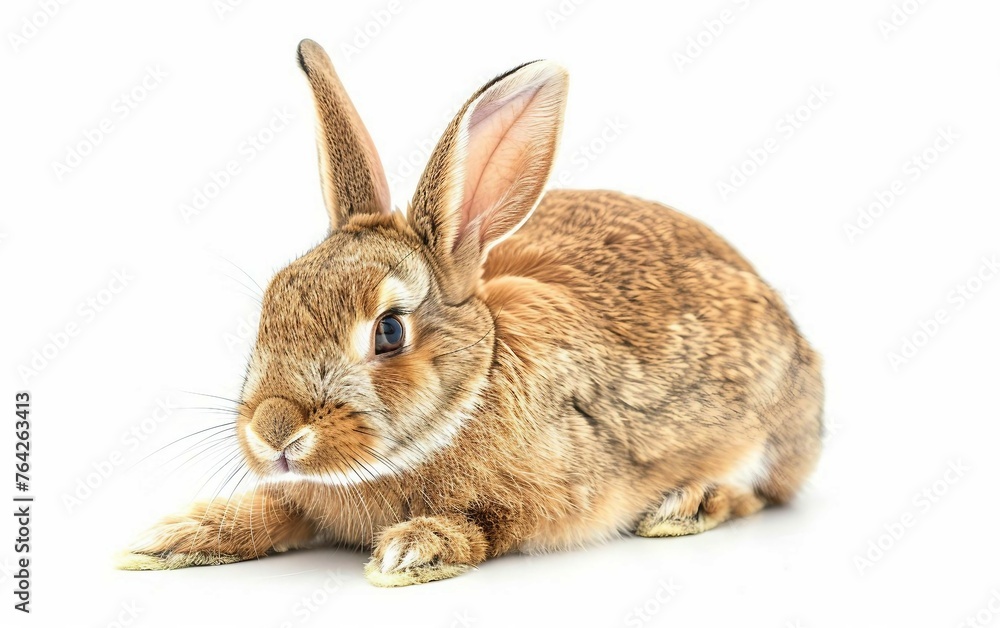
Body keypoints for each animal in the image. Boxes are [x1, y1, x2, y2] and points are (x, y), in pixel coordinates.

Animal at [117, 38, 823, 587]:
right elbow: (275, 508)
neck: (472, 390)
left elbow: (490, 525)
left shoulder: (554, 493)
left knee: (761, 491)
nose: (273, 430)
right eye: (272, 301)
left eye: (390, 331)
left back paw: (686, 504)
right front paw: (176, 535)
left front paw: (412, 550)